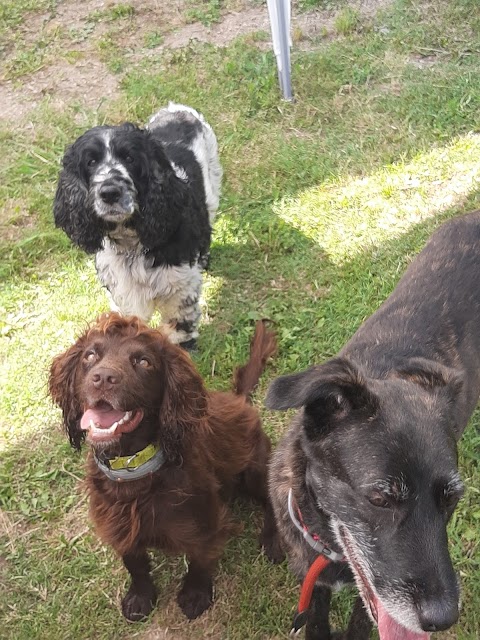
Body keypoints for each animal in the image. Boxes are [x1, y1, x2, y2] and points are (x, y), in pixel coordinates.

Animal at [48, 312, 282, 624]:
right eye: (90, 356)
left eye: (144, 362)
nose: (103, 378)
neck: (133, 467)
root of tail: (239, 401)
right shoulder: (118, 523)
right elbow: (133, 561)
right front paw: (140, 597)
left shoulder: (205, 520)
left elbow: (200, 559)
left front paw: (195, 595)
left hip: (255, 469)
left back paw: (273, 541)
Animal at [53, 102, 222, 348]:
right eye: (91, 162)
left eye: (130, 158)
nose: (110, 192)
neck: (131, 243)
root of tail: (176, 109)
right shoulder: (123, 294)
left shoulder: (180, 290)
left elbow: (178, 331)